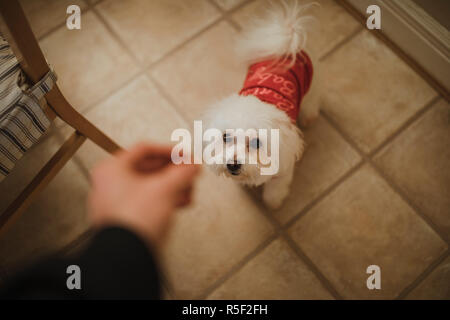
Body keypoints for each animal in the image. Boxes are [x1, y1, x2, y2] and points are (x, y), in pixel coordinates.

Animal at [204, 0, 320, 209]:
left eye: (257, 142)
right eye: (225, 137)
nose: (232, 164)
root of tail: (287, 43)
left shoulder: (283, 170)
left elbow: (275, 189)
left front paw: (273, 203)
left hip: (311, 86)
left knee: (312, 101)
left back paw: (309, 117)